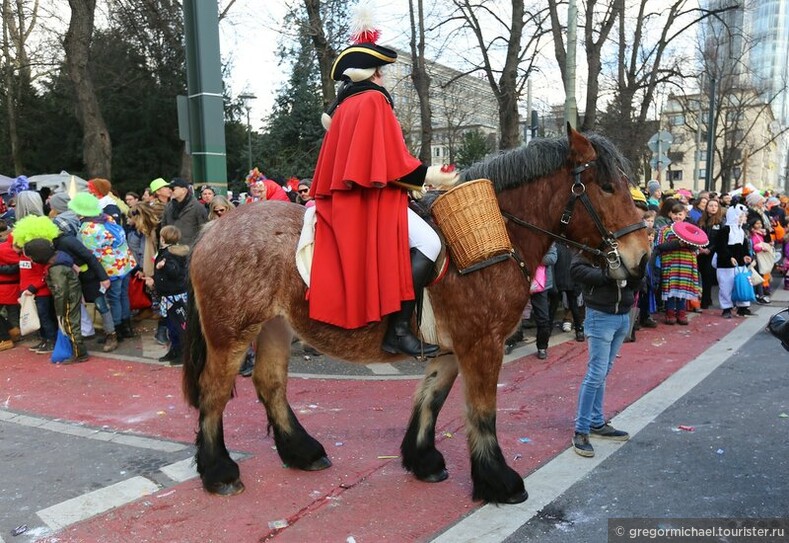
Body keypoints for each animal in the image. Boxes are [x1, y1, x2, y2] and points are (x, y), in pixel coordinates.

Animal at [182, 126, 648, 506]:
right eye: (607, 187)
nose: (640, 258)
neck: (497, 237)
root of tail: (213, 229)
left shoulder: (451, 347)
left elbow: (430, 398)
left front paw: (423, 460)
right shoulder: (482, 344)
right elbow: (482, 411)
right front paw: (499, 481)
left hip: (275, 326)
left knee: (270, 384)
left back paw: (302, 451)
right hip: (230, 334)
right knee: (213, 394)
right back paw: (219, 471)